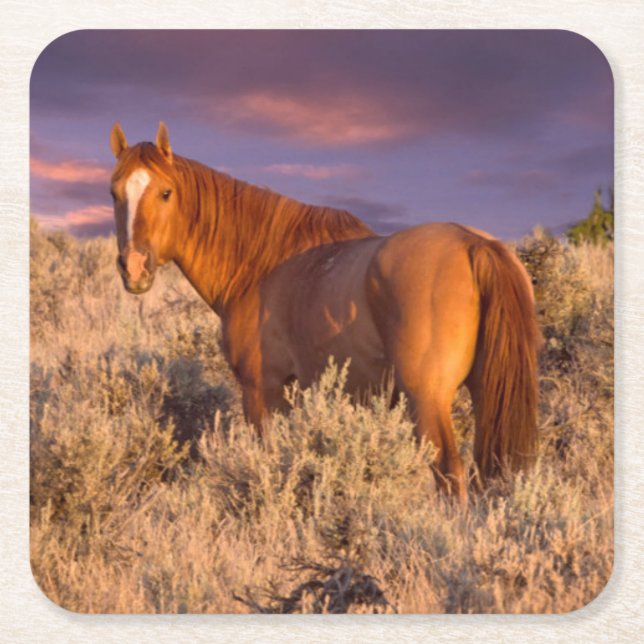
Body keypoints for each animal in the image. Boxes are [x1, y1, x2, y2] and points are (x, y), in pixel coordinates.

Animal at [109, 121, 541, 502]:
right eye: (114, 193)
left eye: (166, 193)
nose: (134, 268)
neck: (260, 266)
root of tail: (474, 245)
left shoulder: (262, 389)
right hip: (484, 393)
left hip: (427, 399)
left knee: (450, 475)